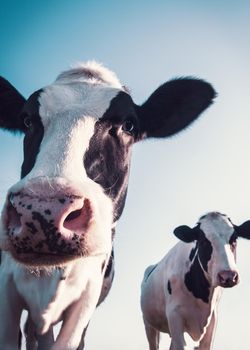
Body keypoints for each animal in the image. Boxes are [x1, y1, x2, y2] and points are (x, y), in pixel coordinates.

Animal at [141, 211, 250, 350]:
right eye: (203, 241)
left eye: (234, 239)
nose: (228, 276)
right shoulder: (174, 315)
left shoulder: (212, 319)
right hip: (149, 325)